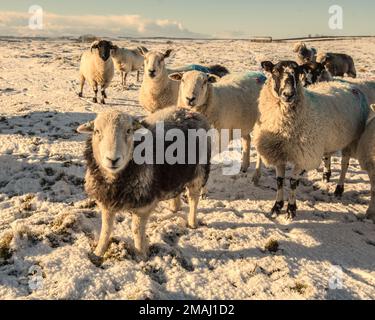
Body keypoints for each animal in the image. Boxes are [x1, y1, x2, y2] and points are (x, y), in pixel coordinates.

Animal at [77, 106, 212, 258]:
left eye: (129, 130)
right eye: (96, 131)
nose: (113, 160)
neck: (115, 180)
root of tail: (188, 110)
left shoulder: (143, 206)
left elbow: (136, 230)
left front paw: (141, 254)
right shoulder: (106, 202)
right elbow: (106, 229)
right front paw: (98, 252)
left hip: (200, 170)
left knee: (194, 198)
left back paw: (192, 222)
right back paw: (174, 208)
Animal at [254, 60, 372, 220]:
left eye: (297, 72)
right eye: (275, 71)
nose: (288, 94)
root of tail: (351, 87)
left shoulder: (303, 156)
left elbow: (293, 182)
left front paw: (291, 210)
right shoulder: (278, 153)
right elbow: (279, 181)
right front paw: (276, 207)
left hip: (352, 139)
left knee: (344, 165)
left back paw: (339, 189)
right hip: (329, 140)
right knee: (328, 156)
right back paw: (325, 177)